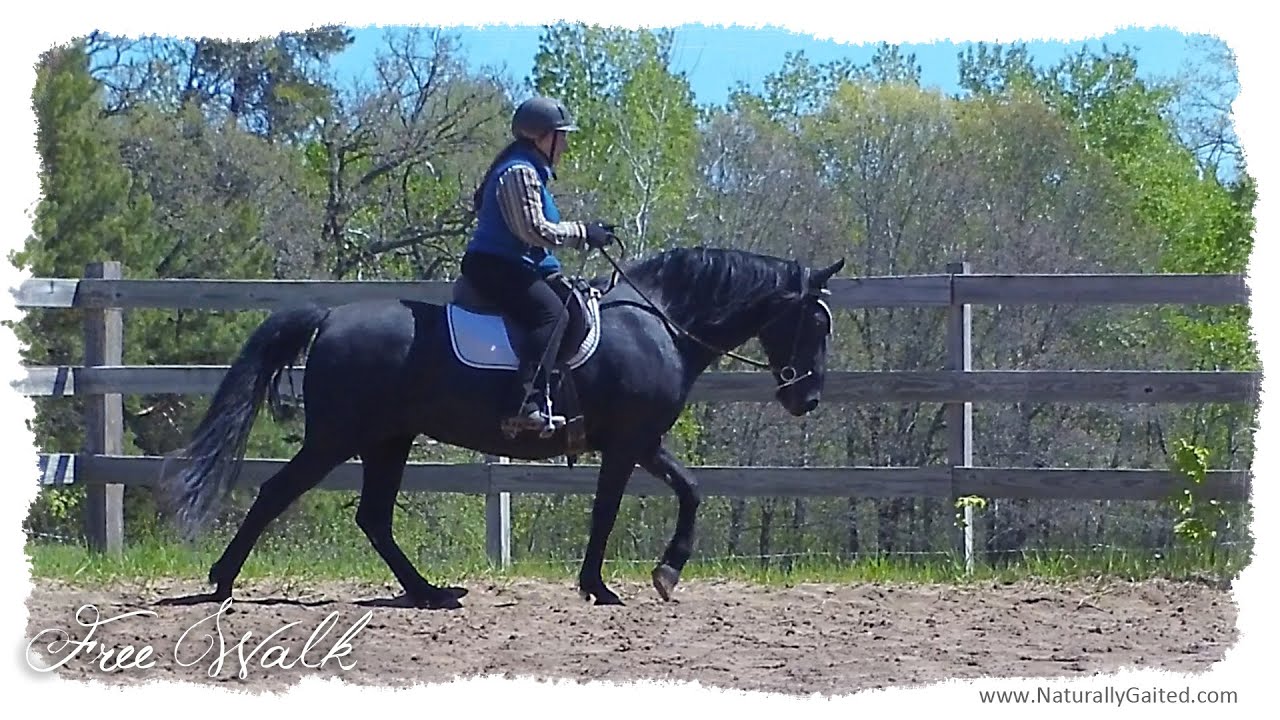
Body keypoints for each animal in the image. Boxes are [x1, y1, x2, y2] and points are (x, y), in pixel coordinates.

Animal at [160, 244, 844, 604]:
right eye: (814, 322)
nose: (808, 398)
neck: (660, 323)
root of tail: (330, 317)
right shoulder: (626, 444)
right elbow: (608, 512)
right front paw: (600, 585)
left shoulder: (642, 442)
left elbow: (692, 490)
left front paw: (666, 572)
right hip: (337, 438)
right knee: (278, 492)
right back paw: (221, 581)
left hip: (388, 440)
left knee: (373, 518)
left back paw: (428, 592)